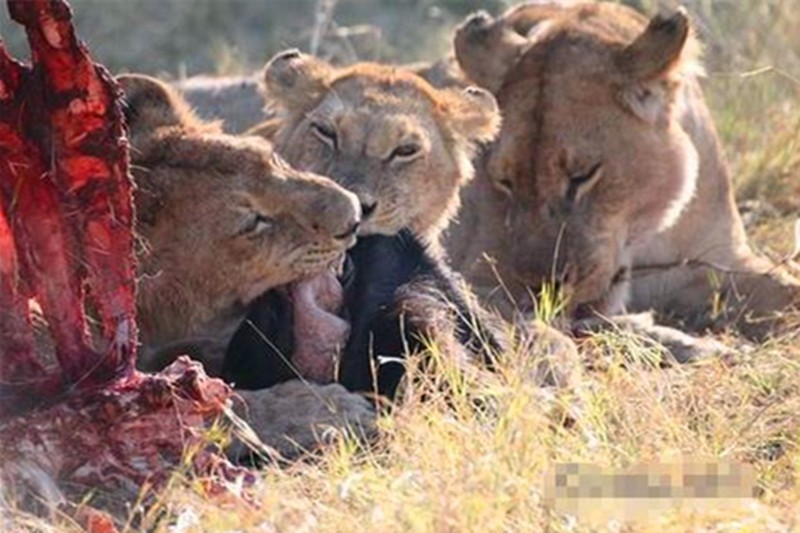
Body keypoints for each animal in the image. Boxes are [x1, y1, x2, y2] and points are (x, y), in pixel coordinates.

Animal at [444, 2, 800, 338]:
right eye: (505, 181)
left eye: (583, 175)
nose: (541, 288)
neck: (647, 232)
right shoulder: (478, 275)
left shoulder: (721, 259)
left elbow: (788, 291)